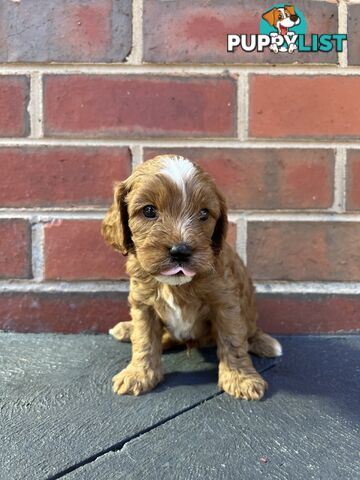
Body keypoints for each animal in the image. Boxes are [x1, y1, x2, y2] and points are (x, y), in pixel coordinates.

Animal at [101, 156, 282, 400]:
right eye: (148, 211)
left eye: (204, 213)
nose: (180, 251)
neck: (176, 285)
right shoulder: (142, 304)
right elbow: (144, 339)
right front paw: (139, 375)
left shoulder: (225, 302)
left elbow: (233, 340)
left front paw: (241, 379)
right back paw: (128, 330)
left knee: (247, 334)